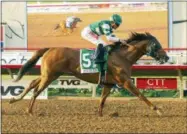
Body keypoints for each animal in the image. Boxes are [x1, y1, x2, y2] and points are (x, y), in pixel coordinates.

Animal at [9, 32, 169, 116]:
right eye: (156, 45)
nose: (166, 58)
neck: (122, 56)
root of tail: (50, 48)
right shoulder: (125, 81)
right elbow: (140, 95)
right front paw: (158, 109)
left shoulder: (109, 83)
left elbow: (102, 100)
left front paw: (100, 114)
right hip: (49, 76)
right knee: (36, 91)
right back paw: (29, 110)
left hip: (49, 74)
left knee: (32, 84)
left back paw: (14, 100)